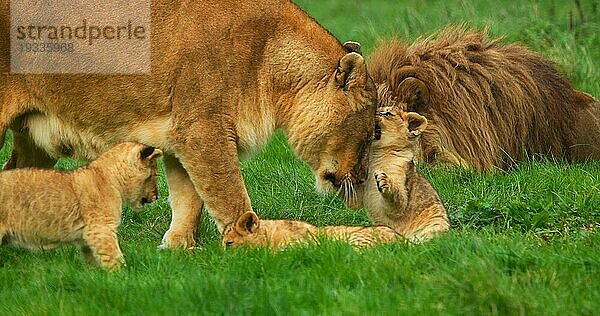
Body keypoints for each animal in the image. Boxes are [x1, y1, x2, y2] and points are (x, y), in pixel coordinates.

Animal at [0, 0, 376, 249]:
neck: (273, 62)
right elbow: (228, 193)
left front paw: (178, 248)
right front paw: (250, 243)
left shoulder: (182, 135)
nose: (361, 179)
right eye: (371, 132)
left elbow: (189, 198)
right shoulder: (202, 130)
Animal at [0, 142, 162, 270]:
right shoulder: (101, 228)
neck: (110, 176)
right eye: (154, 175)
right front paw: (122, 275)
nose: (157, 196)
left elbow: (93, 259)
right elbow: (112, 255)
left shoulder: (87, 237)